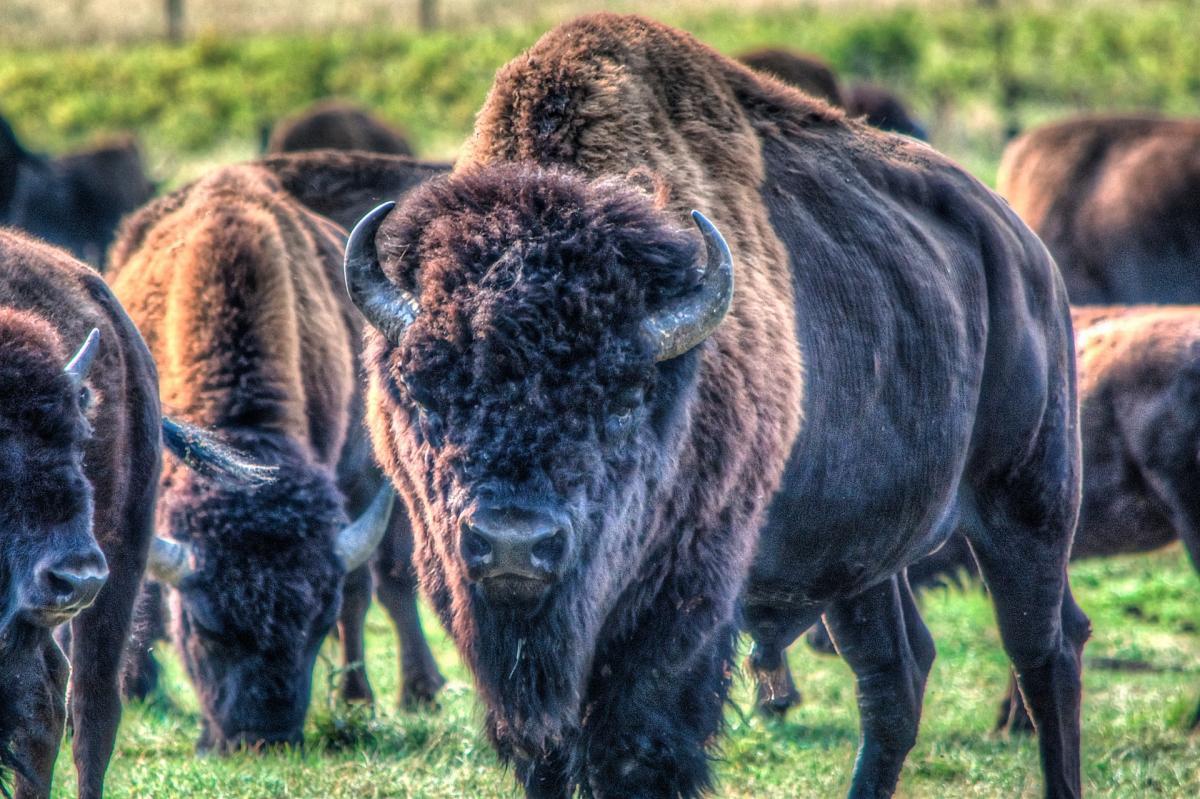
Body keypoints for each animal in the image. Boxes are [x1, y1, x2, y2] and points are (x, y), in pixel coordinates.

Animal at [104, 164, 441, 748]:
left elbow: (359, 589)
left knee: (391, 577)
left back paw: (413, 692)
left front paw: (356, 700)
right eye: (205, 627)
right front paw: (135, 689)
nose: (263, 739)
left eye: (317, 624)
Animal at [345, 14, 1089, 796]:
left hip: (1027, 506)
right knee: (896, 676)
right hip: (865, 560)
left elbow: (633, 749)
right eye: (427, 393)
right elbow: (544, 750)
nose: (515, 543)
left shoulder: (678, 610)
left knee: (1047, 650)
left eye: (623, 400)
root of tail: (1023, 250)